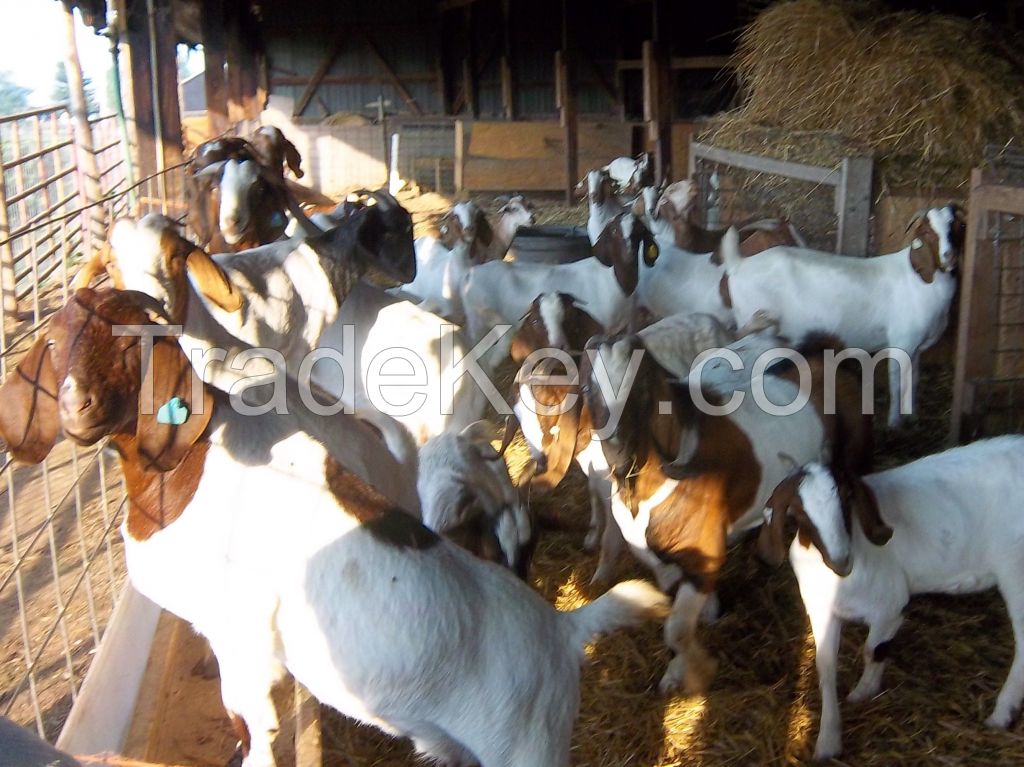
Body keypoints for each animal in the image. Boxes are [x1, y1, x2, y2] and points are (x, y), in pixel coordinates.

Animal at [0, 286, 671, 765]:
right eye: (54, 344)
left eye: (128, 345)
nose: (76, 407)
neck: (187, 468)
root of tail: (562, 630)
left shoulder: (240, 635)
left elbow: (250, 719)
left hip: (528, 749)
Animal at [716, 203, 962, 428]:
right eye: (927, 232)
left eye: (954, 227)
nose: (949, 258)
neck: (917, 280)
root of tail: (739, 264)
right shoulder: (901, 342)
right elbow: (897, 383)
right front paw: (894, 423)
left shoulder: (917, 348)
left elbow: (915, 380)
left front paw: (912, 416)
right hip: (754, 324)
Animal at [761, 436, 1024, 761]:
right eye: (798, 513)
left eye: (847, 498)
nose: (842, 561)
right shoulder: (821, 612)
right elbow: (826, 667)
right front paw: (828, 741)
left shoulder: (889, 605)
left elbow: (872, 650)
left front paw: (863, 691)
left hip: (1015, 567)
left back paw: (1001, 713)